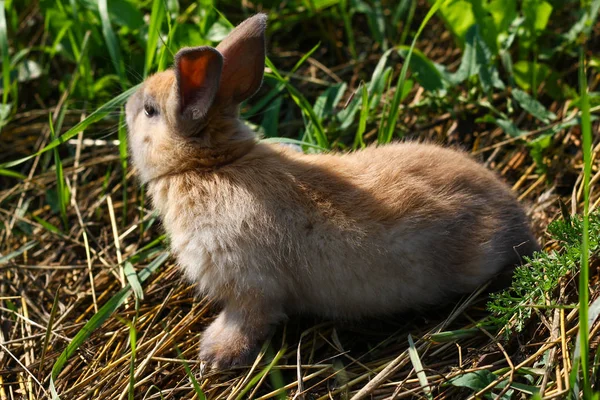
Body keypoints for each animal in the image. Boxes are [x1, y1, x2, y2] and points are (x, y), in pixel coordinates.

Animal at [125, 14, 540, 370]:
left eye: (149, 111)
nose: (127, 103)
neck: (210, 165)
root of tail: (518, 224)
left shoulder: (249, 286)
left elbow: (248, 320)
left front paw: (215, 355)